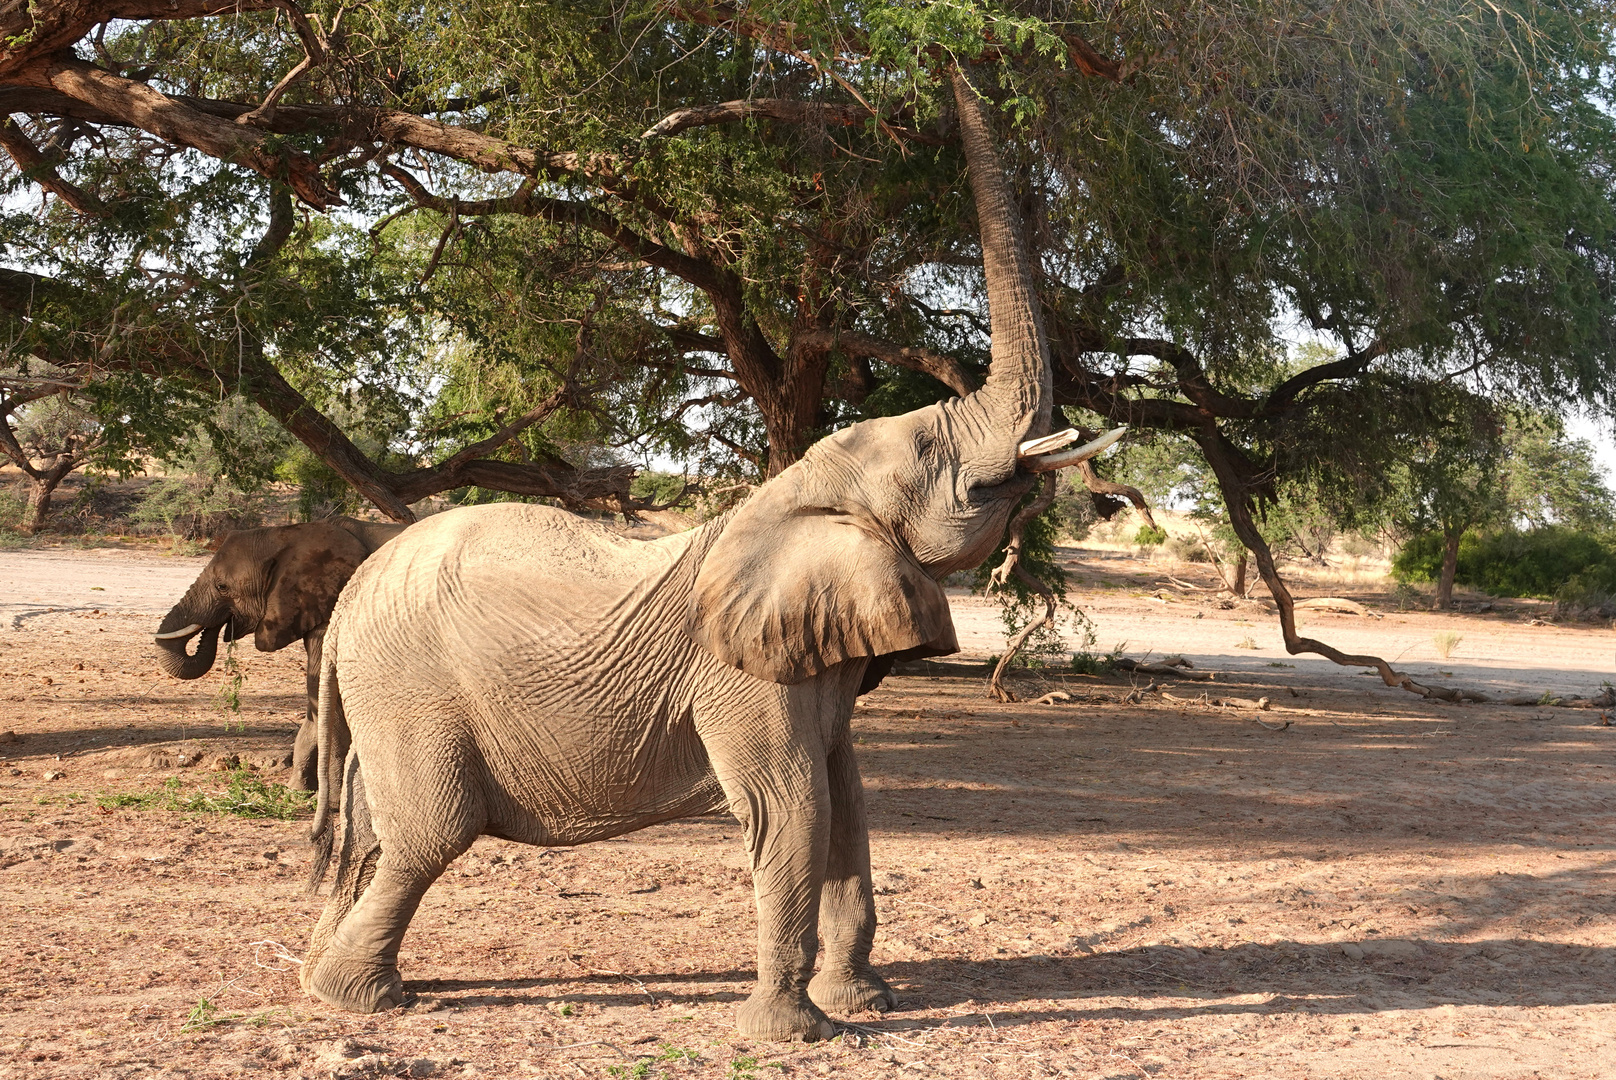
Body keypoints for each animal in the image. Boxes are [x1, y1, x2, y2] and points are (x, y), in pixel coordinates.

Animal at [151, 514, 407, 785]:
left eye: (222, 586)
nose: (218, 629)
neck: (288, 534)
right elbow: (315, 693)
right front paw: (297, 788)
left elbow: (327, 691)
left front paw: (329, 793)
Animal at [297, 71, 1118, 1041]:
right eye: (928, 451)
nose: (953, 60)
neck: (794, 493)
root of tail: (350, 600)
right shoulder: (742, 674)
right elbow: (791, 805)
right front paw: (796, 1034)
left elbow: (846, 799)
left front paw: (866, 1004)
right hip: (411, 690)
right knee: (429, 833)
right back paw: (363, 1000)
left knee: (372, 833)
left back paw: (322, 983)